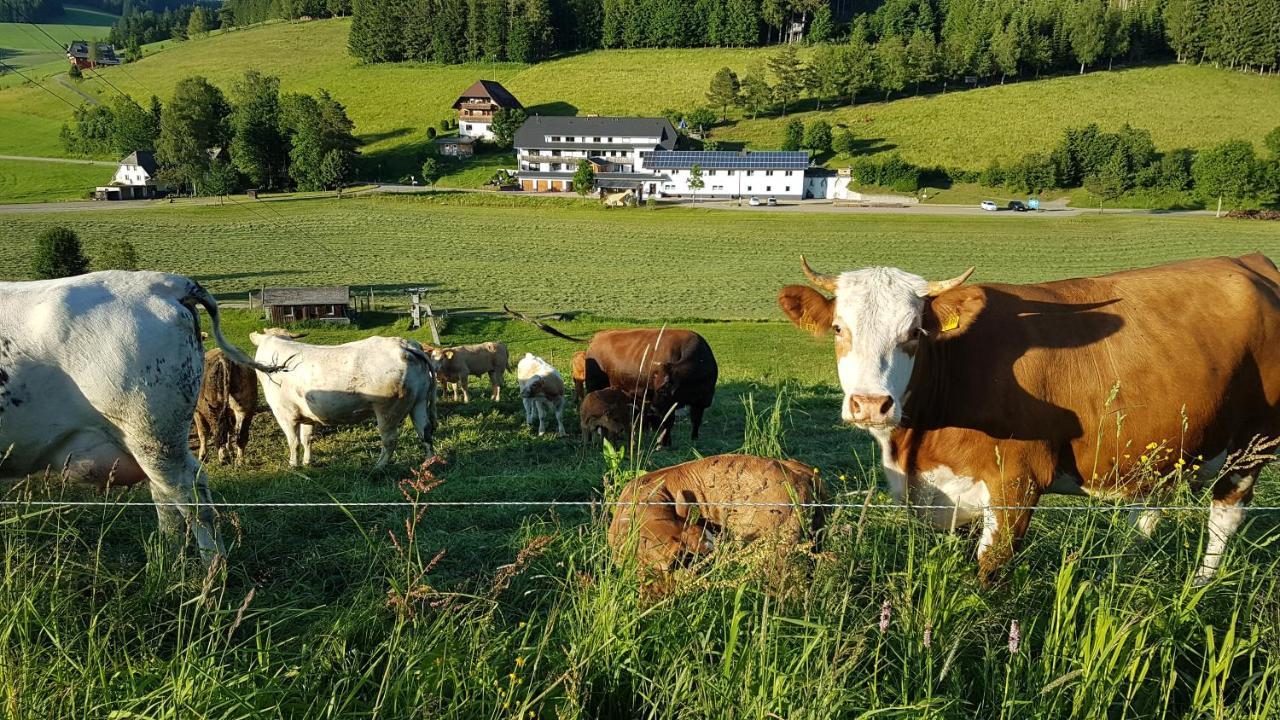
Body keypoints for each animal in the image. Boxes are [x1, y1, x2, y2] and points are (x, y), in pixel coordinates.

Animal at [249, 326, 440, 466]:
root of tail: (405, 345)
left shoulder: (285, 414)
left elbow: (293, 442)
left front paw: (293, 465)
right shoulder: (306, 415)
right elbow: (306, 439)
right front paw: (307, 462)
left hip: (387, 411)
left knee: (390, 440)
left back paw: (377, 467)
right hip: (419, 403)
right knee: (425, 432)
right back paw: (428, 463)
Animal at [778, 253, 1280, 584]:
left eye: (915, 332)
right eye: (839, 328)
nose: (870, 404)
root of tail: (1249, 262)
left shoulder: (1016, 483)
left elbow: (988, 571)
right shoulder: (951, 490)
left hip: (1253, 446)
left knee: (1224, 517)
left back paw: (1200, 584)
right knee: (1151, 506)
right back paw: (1126, 563)